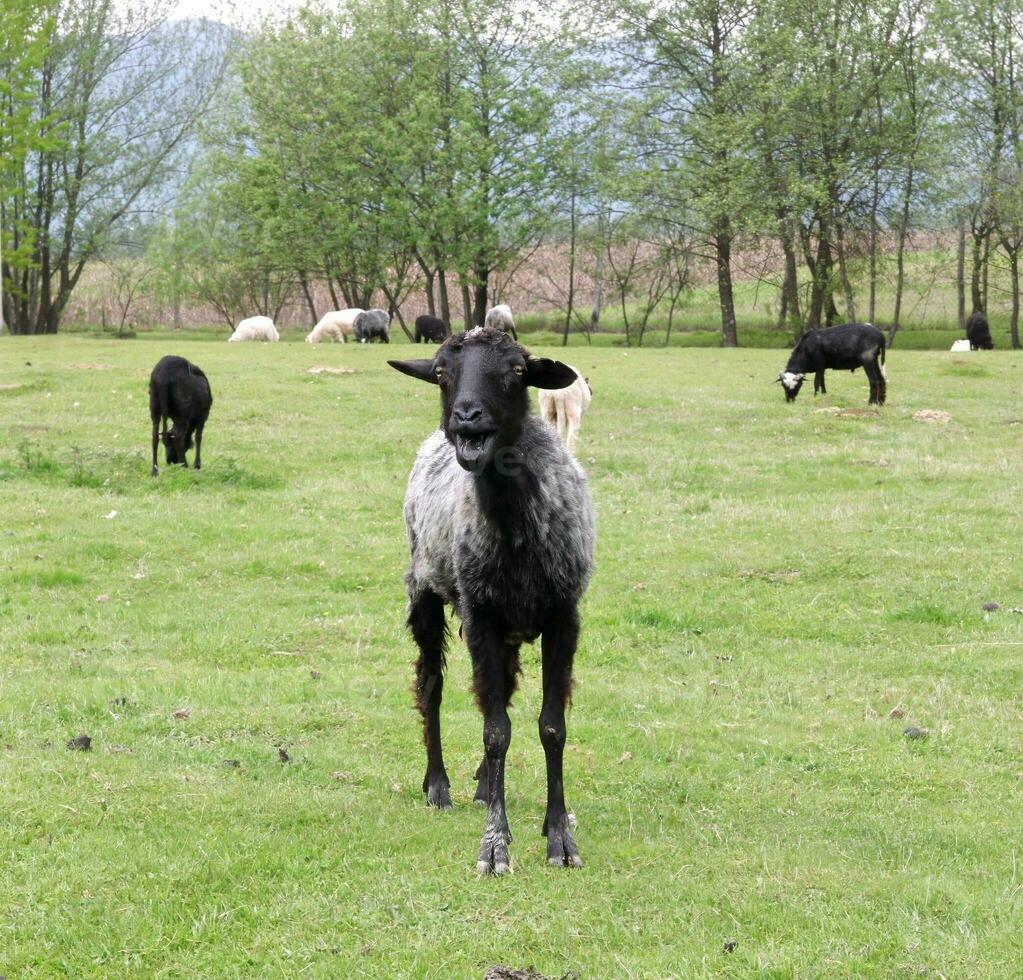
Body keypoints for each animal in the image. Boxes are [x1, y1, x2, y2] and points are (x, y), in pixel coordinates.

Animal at [384, 327, 597, 875]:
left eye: (518, 371)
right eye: (441, 371)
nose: (466, 416)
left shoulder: (563, 615)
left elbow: (550, 727)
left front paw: (559, 836)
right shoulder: (480, 615)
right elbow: (495, 730)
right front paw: (496, 845)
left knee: (502, 691)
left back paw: (483, 782)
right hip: (426, 591)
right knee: (432, 687)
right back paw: (438, 786)